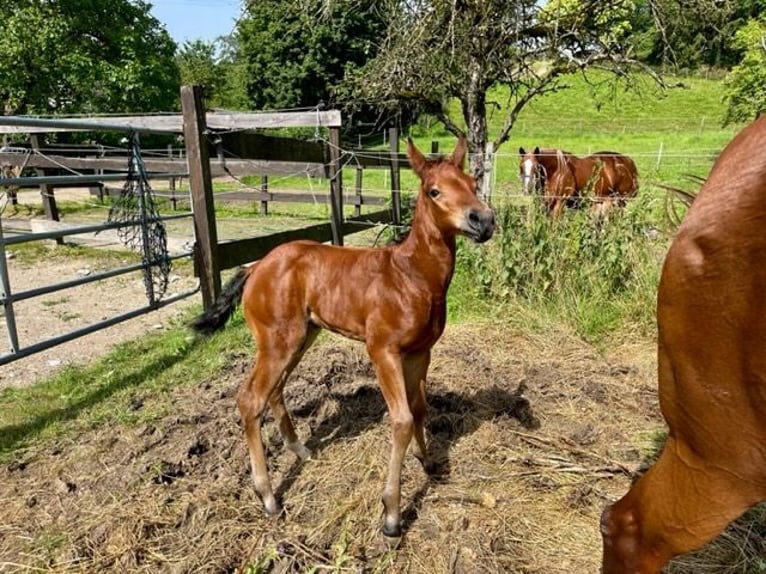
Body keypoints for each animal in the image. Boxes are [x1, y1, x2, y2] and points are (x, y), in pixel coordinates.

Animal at [191, 136, 495, 537]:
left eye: (473, 185)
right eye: (435, 191)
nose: (484, 220)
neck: (412, 277)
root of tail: (255, 266)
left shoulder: (421, 352)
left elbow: (419, 409)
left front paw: (428, 462)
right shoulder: (382, 351)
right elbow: (400, 419)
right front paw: (392, 513)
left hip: (300, 337)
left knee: (275, 390)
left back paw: (301, 450)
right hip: (277, 341)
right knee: (250, 399)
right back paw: (268, 497)